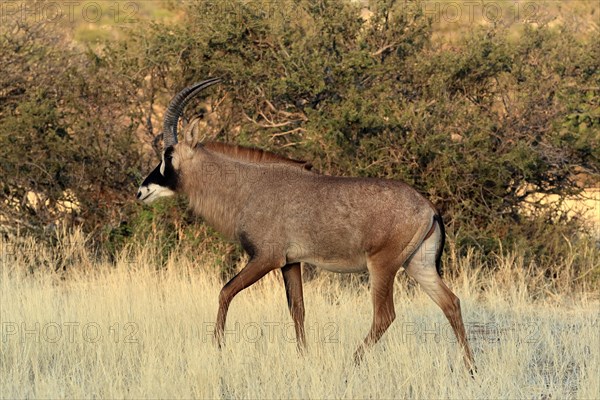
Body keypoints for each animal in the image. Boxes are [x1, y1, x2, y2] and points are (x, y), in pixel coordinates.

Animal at [138, 79, 476, 374]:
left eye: (168, 155)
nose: (142, 191)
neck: (248, 186)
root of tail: (428, 208)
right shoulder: (291, 263)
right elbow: (297, 310)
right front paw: (304, 357)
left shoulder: (266, 258)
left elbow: (225, 292)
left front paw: (217, 347)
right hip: (418, 265)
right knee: (451, 303)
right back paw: (470, 368)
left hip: (383, 266)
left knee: (385, 315)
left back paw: (351, 363)